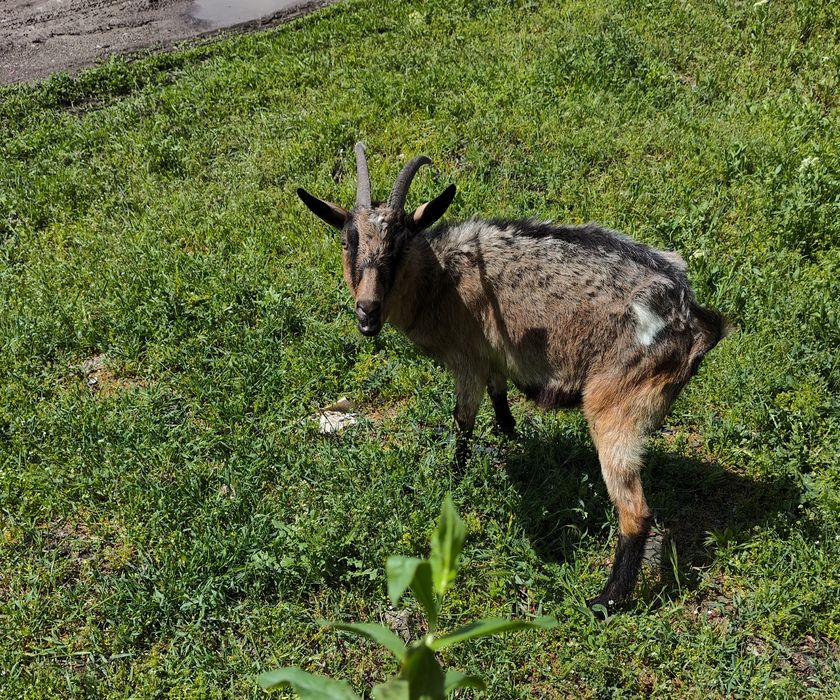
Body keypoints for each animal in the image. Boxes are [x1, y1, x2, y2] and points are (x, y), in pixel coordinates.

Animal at [297, 143, 729, 611]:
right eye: (348, 241)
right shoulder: (493, 356)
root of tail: (692, 319)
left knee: (636, 511)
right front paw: (509, 433)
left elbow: (463, 421)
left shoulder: (466, 359)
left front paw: (454, 481)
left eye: (399, 245)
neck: (442, 277)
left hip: (615, 405)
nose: (367, 313)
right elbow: (498, 393)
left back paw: (605, 601)